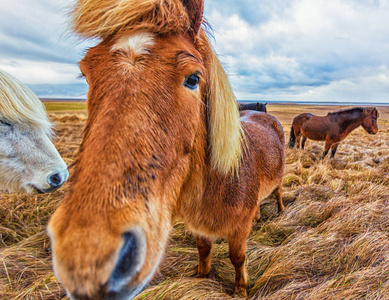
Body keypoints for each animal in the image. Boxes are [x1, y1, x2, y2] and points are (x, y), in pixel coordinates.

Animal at [47, 0, 284, 300]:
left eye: (193, 79)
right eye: (86, 73)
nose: (86, 258)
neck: (223, 179)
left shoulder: (239, 229)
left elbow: (237, 257)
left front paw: (240, 289)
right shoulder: (198, 227)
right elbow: (203, 250)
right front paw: (201, 278)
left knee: (278, 192)